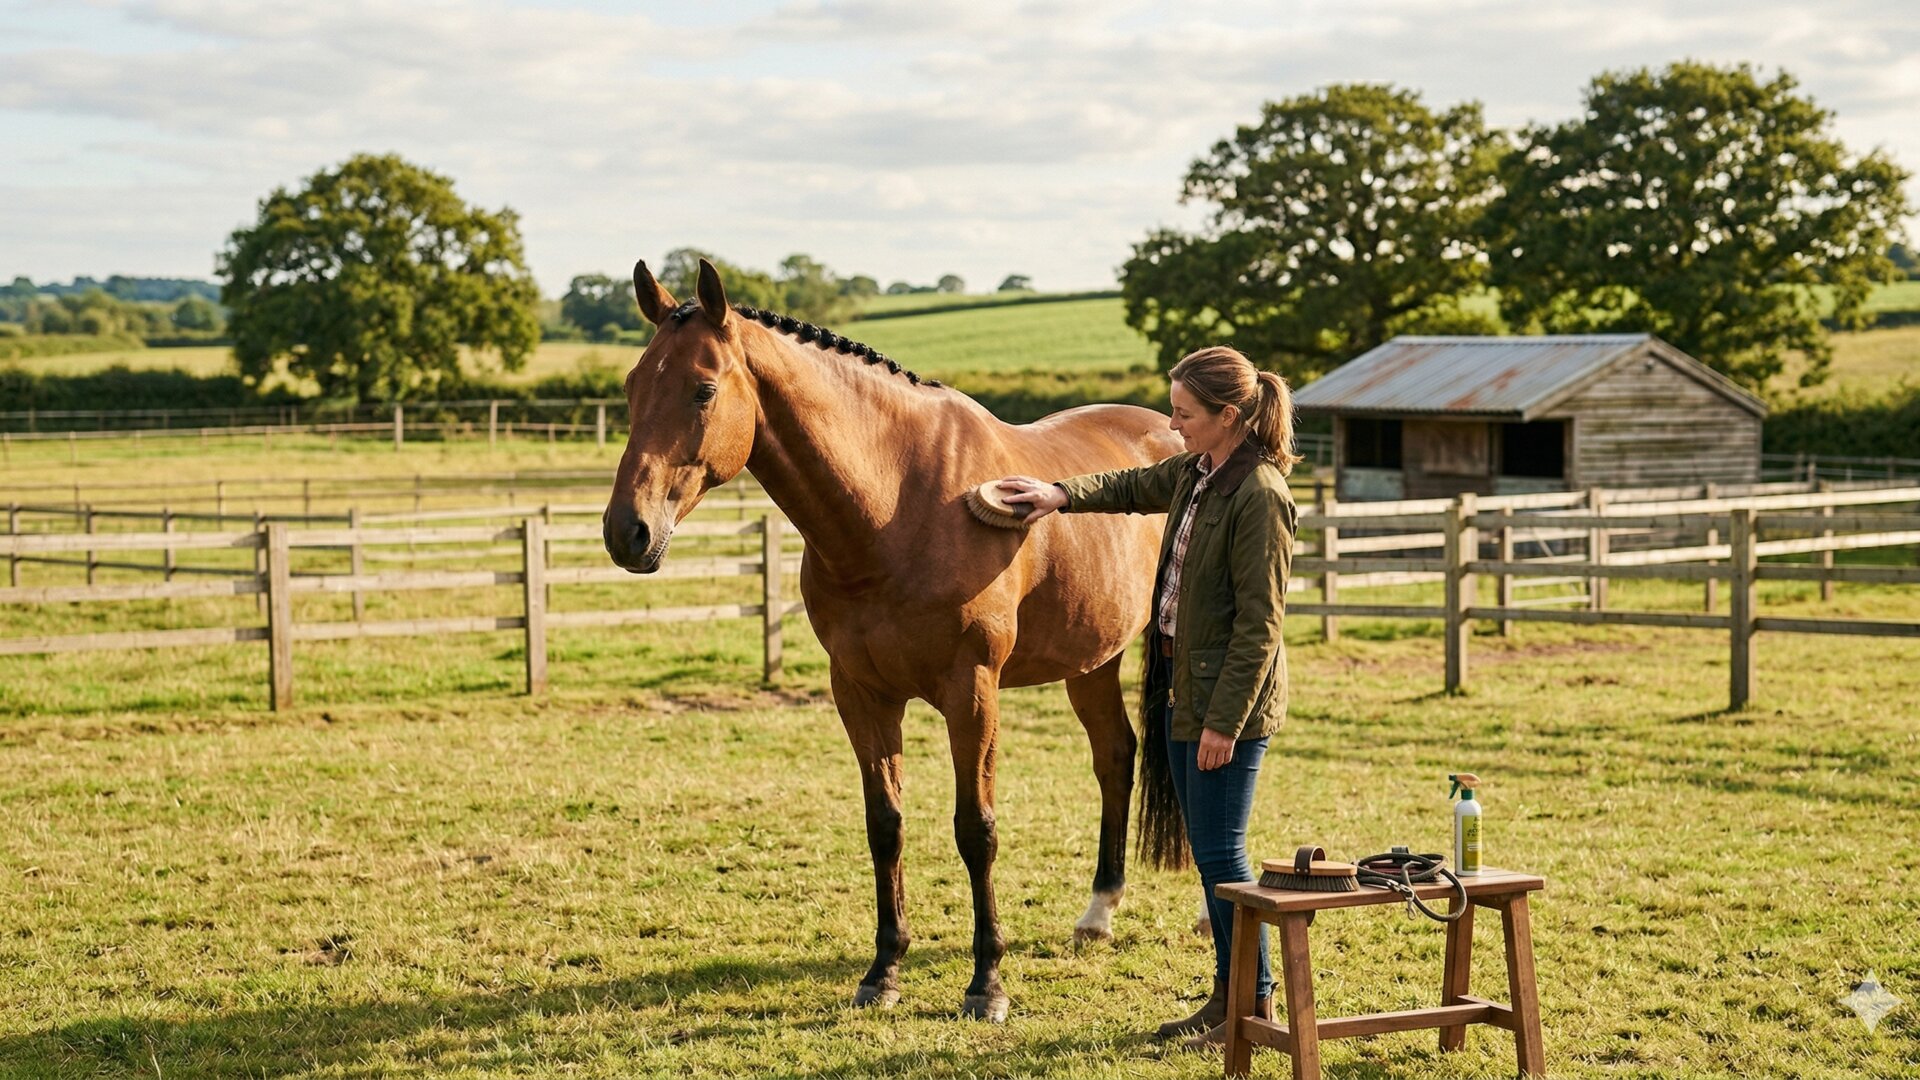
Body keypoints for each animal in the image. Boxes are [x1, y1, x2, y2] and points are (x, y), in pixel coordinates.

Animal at [603, 258, 1183, 1021]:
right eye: (632, 386)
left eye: (703, 389)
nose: (627, 532)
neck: (896, 507)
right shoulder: (861, 693)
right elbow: (886, 825)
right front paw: (884, 971)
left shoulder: (972, 692)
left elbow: (976, 828)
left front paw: (986, 982)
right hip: (1093, 659)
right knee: (1116, 756)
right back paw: (1098, 913)